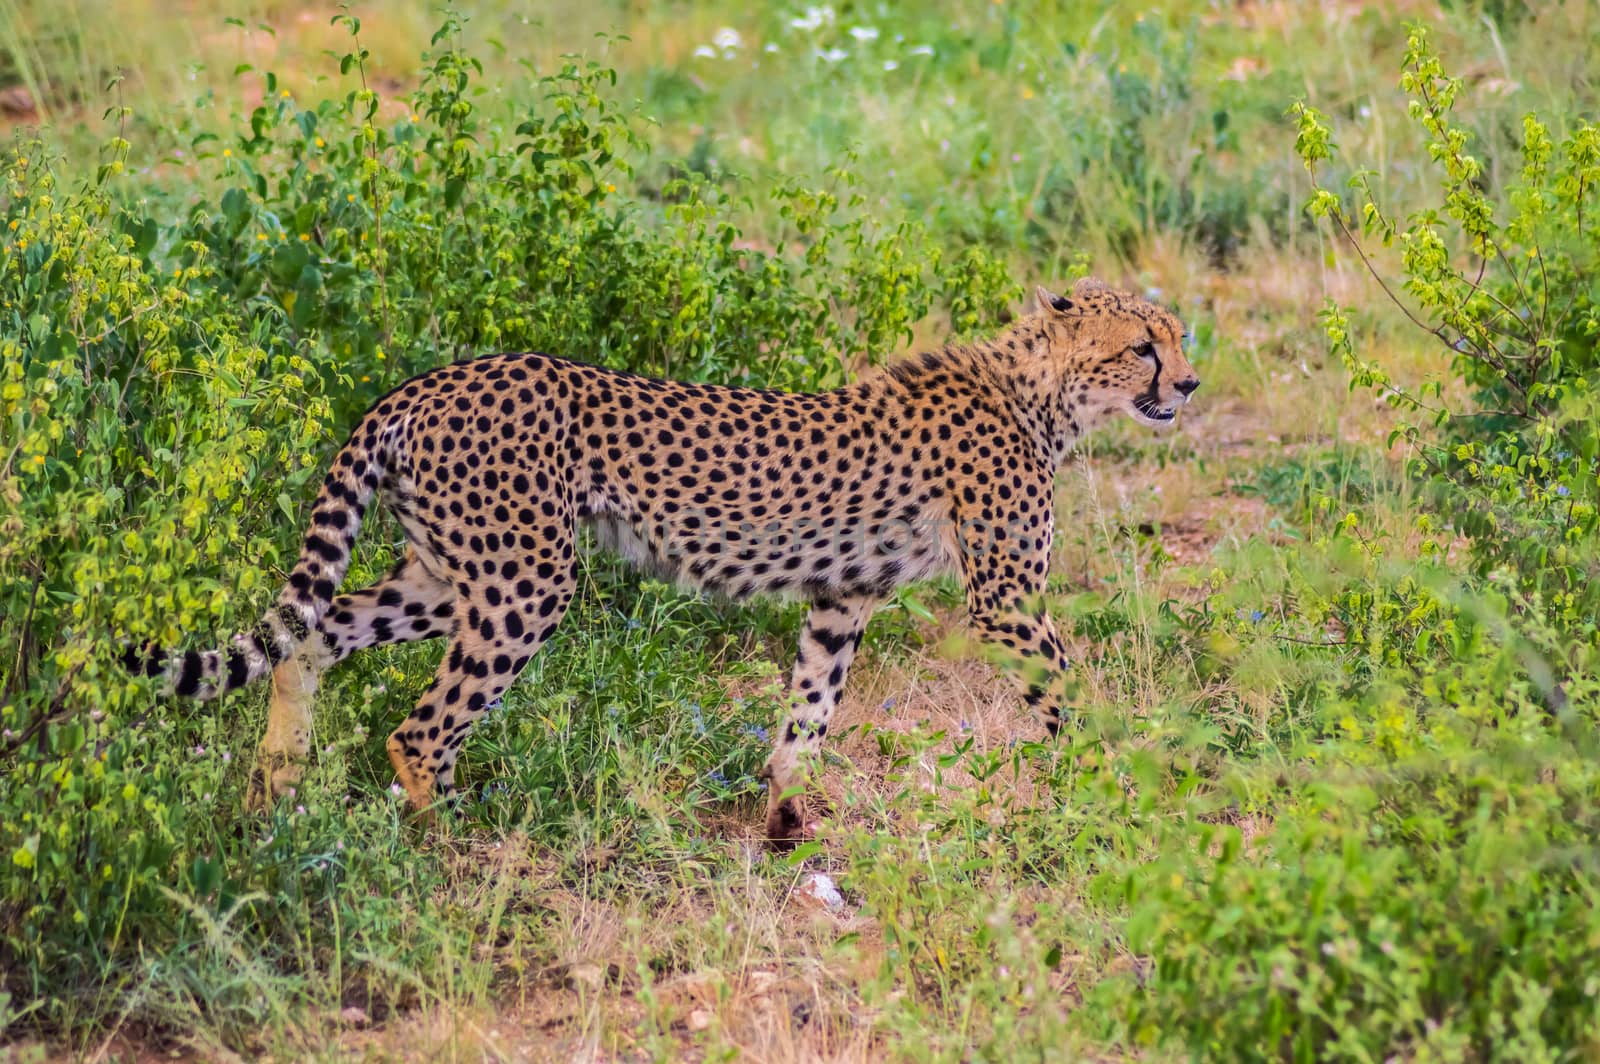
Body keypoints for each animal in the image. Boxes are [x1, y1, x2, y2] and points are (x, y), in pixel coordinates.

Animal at [131, 275, 1196, 844]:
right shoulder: (1005, 601)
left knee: (312, 639)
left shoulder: (842, 596)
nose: (1187, 384)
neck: (1043, 394)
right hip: (525, 582)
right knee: (420, 730)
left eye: (1178, 337)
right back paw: (442, 848)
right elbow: (1071, 691)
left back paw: (274, 799)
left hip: (446, 575)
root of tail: (424, 382)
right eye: (1141, 347)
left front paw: (784, 817)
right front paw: (1121, 787)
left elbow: (809, 710)